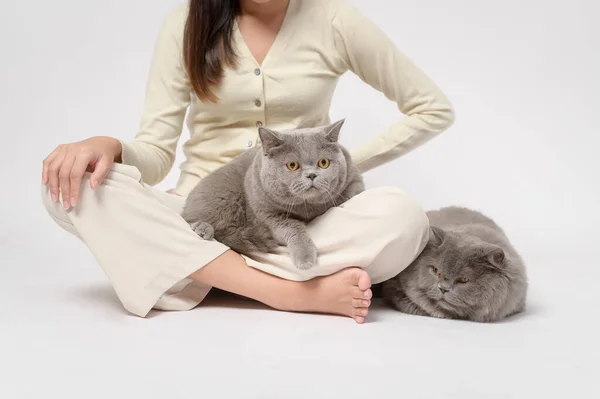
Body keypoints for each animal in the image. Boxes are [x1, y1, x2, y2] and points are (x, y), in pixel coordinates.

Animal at [182, 118, 366, 268]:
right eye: (292, 165)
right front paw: (305, 258)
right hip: (225, 196)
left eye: (324, 163)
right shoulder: (270, 217)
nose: (312, 175)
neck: (306, 208)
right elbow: (293, 229)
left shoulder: (355, 181)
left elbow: (350, 194)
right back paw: (202, 229)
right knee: (192, 220)